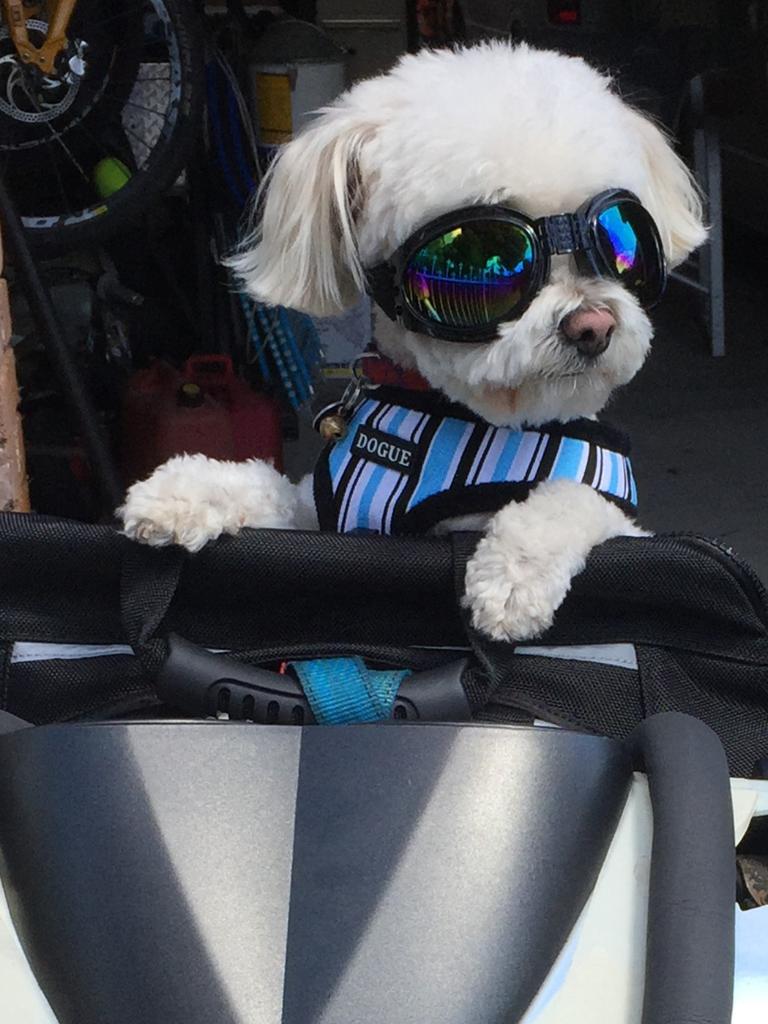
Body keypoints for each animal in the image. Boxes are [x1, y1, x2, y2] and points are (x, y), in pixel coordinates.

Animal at [118, 46, 704, 638]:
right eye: (482, 255)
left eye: (617, 236)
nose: (594, 326)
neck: (446, 409)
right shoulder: (324, 513)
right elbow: (267, 485)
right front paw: (184, 491)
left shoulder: (626, 530)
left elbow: (572, 499)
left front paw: (513, 577)